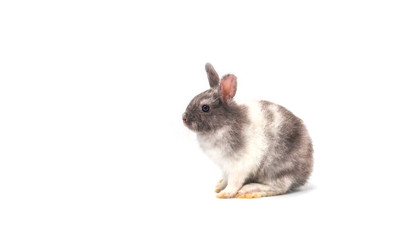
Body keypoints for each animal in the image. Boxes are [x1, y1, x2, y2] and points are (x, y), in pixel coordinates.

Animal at [182, 62, 312, 198]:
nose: (184, 119)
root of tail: (305, 174)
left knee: (281, 186)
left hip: (276, 169)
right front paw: (219, 187)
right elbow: (226, 179)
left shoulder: (238, 165)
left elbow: (234, 182)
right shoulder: (225, 166)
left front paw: (225, 193)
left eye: (205, 108)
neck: (223, 124)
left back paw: (249, 190)